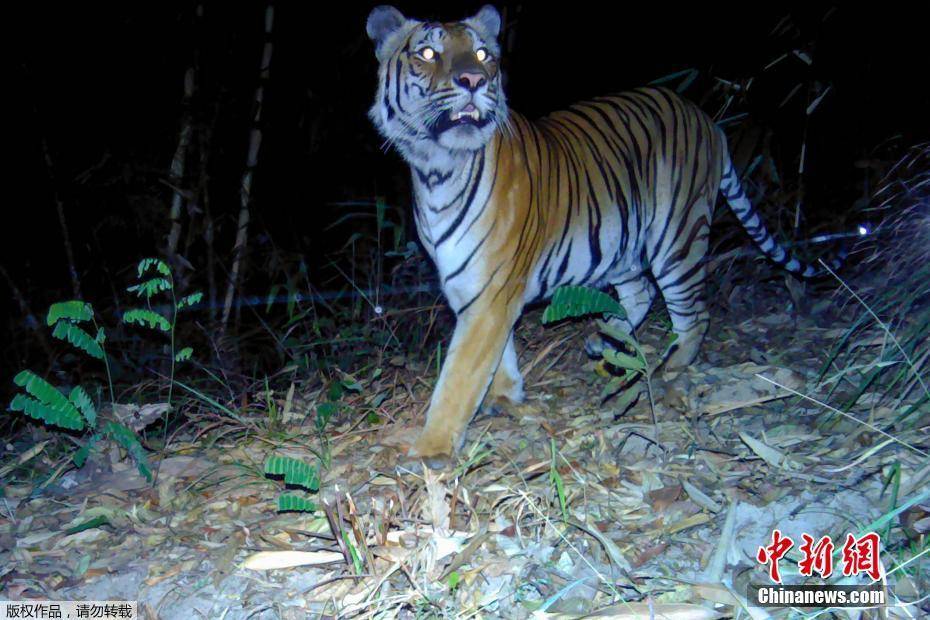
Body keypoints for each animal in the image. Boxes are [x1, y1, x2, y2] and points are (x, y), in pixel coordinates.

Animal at [366, 4, 824, 458]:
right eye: (428, 54)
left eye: (482, 55)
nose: (474, 80)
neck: (436, 169)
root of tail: (707, 121)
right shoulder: (473, 289)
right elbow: (499, 353)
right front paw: (506, 397)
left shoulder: (491, 292)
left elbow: (460, 375)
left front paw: (432, 449)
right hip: (622, 242)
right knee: (642, 292)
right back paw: (606, 341)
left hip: (677, 238)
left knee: (694, 314)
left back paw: (669, 366)